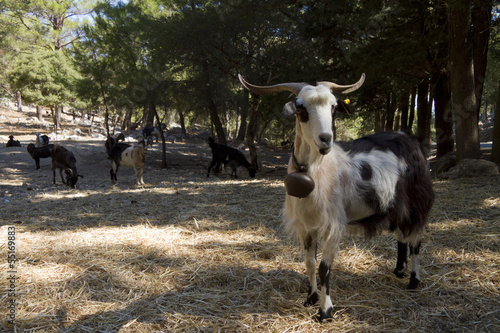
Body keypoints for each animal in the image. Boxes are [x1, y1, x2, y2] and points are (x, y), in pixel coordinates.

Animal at [238, 74, 434, 320]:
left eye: (333, 108)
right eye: (300, 108)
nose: (325, 139)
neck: (316, 170)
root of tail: (411, 140)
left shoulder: (332, 225)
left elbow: (324, 268)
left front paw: (326, 310)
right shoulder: (306, 225)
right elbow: (310, 263)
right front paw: (310, 298)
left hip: (417, 201)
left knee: (415, 240)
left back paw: (414, 280)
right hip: (394, 205)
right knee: (400, 235)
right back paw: (399, 270)